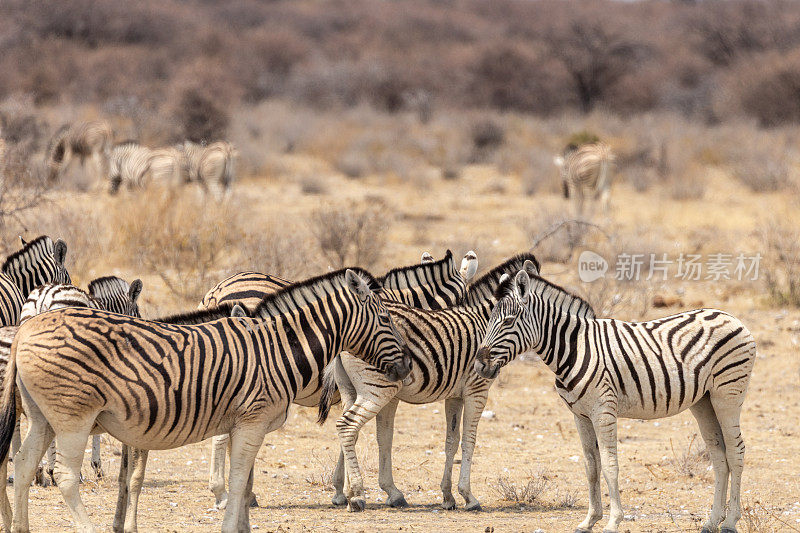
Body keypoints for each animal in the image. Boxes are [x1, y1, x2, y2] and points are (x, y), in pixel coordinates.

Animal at [0, 268, 410, 532]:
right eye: (386, 319)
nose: (407, 366)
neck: (275, 349)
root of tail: (26, 329)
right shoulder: (252, 421)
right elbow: (238, 480)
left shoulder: (243, 424)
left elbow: (243, 483)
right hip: (73, 418)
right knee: (66, 477)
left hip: (43, 417)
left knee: (23, 465)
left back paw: (21, 528)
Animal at [203, 249, 476, 508]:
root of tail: (216, 290)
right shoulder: (386, 390)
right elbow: (383, 437)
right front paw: (386, 491)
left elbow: (353, 433)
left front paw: (341, 490)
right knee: (222, 435)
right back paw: (224, 494)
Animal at [318, 254, 536, 512]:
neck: (486, 320)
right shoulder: (477, 389)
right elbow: (469, 440)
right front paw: (468, 497)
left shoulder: (454, 395)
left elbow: (452, 441)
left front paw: (448, 496)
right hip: (378, 388)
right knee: (347, 426)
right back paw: (358, 496)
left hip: (349, 388)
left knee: (350, 431)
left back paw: (348, 492)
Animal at [476, 270, 756, 532]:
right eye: (489, 320)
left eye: (509, 321)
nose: (480, 364)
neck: (574, 349)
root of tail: (731, 317)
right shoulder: (580, 415)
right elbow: (591, 466)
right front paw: (589, 520)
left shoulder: (603, 410)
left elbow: (610, 466)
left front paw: (613, 521)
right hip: (704, 402)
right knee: (719, 456)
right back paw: (712, 521)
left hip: (727, 395)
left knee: (736, 451)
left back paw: (730, 522)